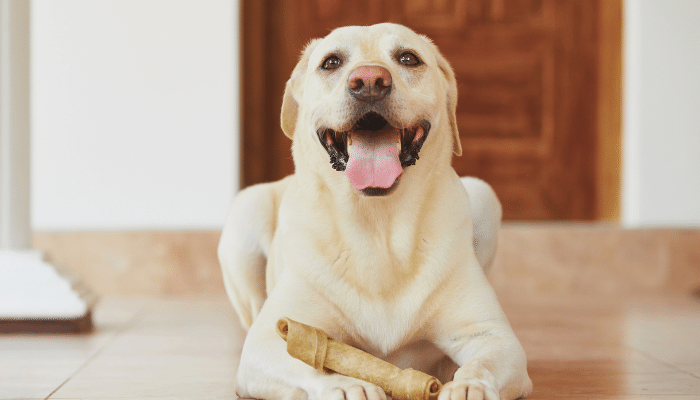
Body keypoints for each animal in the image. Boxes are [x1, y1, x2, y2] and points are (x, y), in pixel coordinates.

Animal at [219, 22, 532, 400]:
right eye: (331, 62)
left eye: (408, 58)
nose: (369, 81)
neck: (378, 226)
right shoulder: (269, 340)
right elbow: (312, 361)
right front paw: (347, 385)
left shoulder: (492, 335)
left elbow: (483, 362)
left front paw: (470, 385)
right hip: (245, 213)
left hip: (484, 195)